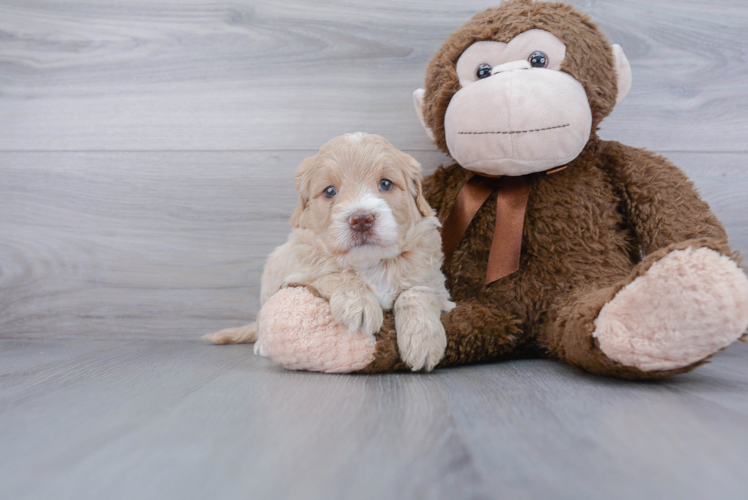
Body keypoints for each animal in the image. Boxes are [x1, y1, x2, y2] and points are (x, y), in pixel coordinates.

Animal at [207, 133, 458, 372]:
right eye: (329, 191)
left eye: (386, 184)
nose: (361, 219)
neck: (370, 262)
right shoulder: (299, 274)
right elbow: (337, 273)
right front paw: (359, 305)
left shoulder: (433, 282)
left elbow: (416, 292)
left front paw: (423, 343)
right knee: (262, 319)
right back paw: (261, 345)